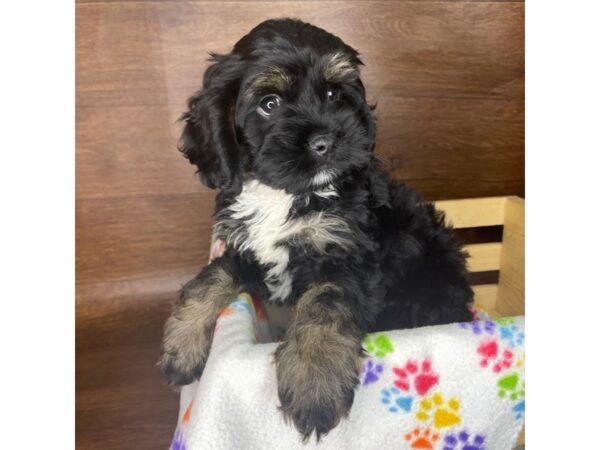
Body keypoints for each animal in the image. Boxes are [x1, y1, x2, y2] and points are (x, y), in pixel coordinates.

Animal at [161, 17, 474, 440]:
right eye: (269, 103)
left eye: (333, 93)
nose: (325, 142)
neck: (286, 195)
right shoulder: (249, 248)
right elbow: (212, 274)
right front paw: (181, 342)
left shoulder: (348, 253)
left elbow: (323, 304)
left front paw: (314, 382)